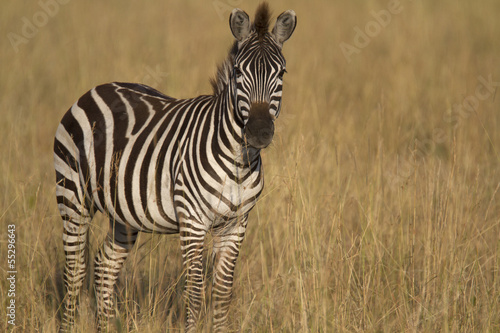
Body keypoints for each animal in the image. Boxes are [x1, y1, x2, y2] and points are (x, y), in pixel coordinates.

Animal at [53, 1, 296, 330]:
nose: (259, 132)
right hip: (73, 198)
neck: (239, 162)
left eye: (281, 72)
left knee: (104, 265)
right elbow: (193, 293)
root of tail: (95, 90)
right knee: (75, 271)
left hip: (123, 213)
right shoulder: (192, 222)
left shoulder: (236, 225)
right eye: (238, 72)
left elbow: (222, 293)